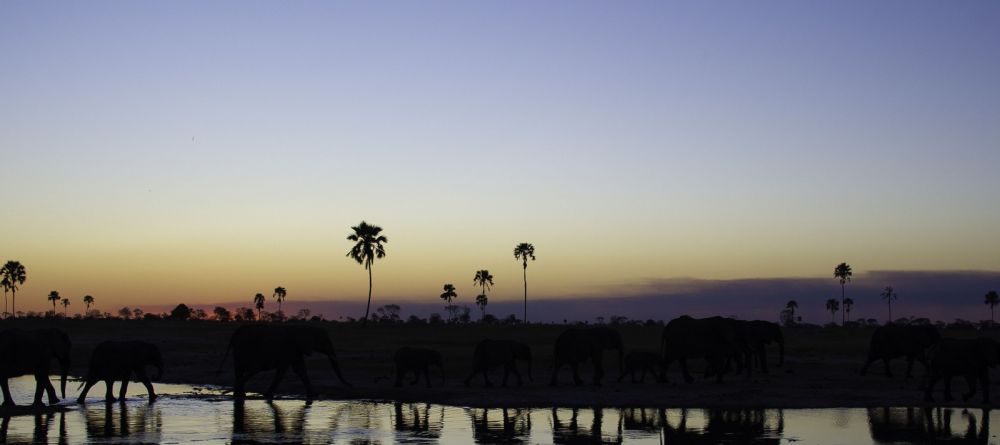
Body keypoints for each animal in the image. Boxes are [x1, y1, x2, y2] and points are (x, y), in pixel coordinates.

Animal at [221, 322, 350, 398]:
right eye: (324, 341)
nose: (350, 385)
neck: (304, 328)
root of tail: (235, 333)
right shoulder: (290, 349)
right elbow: (284, 371)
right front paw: (267, 396)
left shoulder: (296, 350)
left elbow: (301, 370)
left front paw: (313, 395)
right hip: (243, 348)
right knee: (250, 369)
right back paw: (239, 394)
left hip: (239, 350)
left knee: (240, 370)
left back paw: (239, 395)